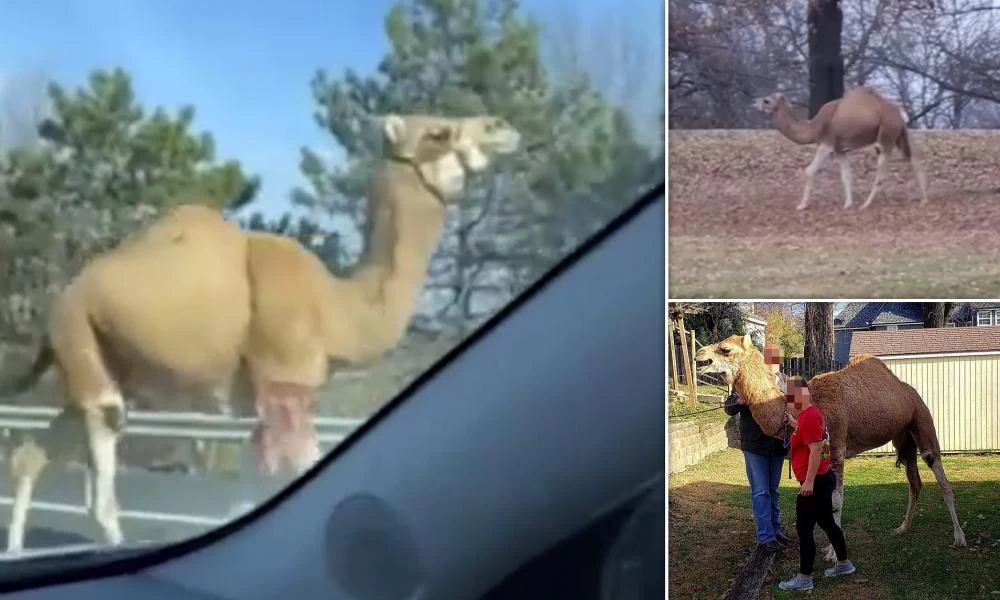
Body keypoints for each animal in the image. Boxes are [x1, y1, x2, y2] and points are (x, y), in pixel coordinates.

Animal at [0, 112, 520, 552]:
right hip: (81, 340)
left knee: (34, 452)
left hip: (99, 364)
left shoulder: (257, 399)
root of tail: (59, 302)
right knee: (100, 478)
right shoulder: (286, 380)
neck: (335, 305)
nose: (501, 127)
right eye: (438, 132)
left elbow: (251, 487)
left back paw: (19, 548)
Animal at [696, 336, 968, 560]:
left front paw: (834, 554)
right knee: (915, 483)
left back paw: (959, 538)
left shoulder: (835, 446)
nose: (699, 357)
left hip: (922, 420)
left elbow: (836, 500)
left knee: (941, 479)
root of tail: (910, 392)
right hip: (904, 439)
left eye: (725, 349)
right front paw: (829, 547)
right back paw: (902, 528)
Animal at [756, 86, 928, 211]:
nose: (758, 103)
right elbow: (846, 175)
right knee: (914, 160)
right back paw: (923, 200)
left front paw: (802, 205)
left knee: (882, 171)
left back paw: (866, 204)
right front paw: (848, 204)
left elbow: (809, 171)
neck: (814, 126)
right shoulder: (840, 149)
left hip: (887, 133)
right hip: (900, 135)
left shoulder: (827, 143)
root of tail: (900, 115)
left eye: (767, 101)